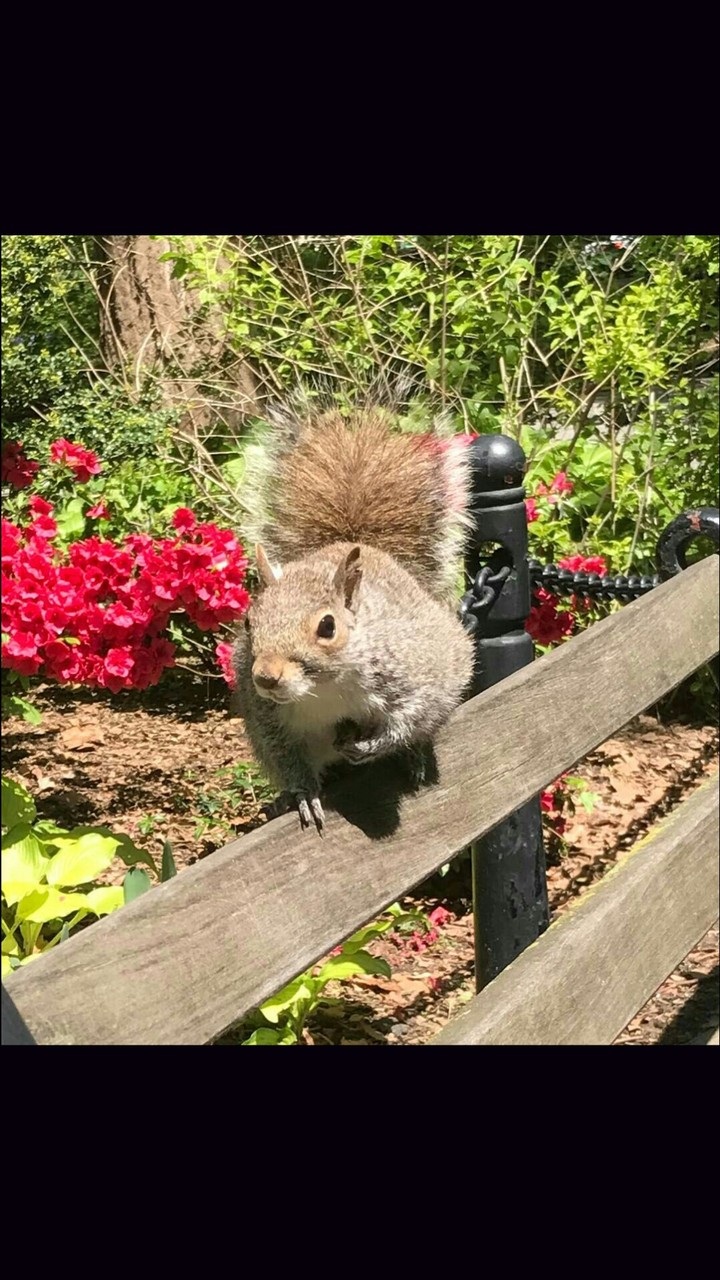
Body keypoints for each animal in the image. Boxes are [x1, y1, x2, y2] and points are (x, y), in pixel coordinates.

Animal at [233, 398, 475, 832]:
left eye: (327, 626)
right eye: (248, 623)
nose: (266, 677)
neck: (323, 687)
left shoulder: (410, 670)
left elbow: (412, 713)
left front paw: (377, 746)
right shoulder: (268, 721)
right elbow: (288, 759)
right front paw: (302, 794)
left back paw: (414, 755)